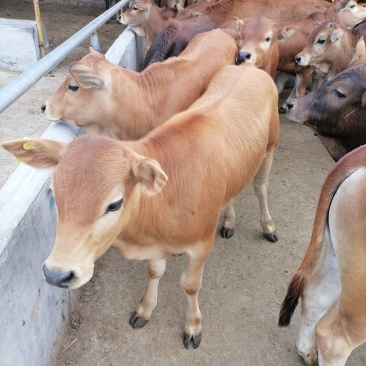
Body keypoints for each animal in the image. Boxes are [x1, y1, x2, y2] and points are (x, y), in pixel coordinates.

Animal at [2, 63, 280, 348]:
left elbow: (190, 285)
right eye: (56, 196)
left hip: (270, 148)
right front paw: (145, 309)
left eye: (114, 204)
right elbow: (154, 271)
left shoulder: (201, 245)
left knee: (260, 188)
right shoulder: (156, 246)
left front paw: (193, 326)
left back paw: (268, 226)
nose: (57, 274)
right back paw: (228, 221)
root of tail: (249, 67)